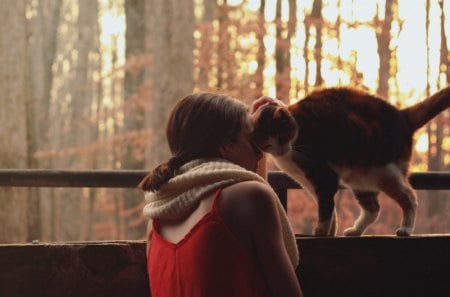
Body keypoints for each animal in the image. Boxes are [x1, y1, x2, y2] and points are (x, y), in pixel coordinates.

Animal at [253, 85, 450, 236]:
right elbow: (329, 209)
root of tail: (402, 116)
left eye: (281, 136)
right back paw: (355, 230)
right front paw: (330, 232)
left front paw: (321, 232)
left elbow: (325, 208)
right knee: (373, 209)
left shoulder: (324, 176)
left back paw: (406, 229)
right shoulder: (309, 181)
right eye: (268, 144)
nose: (280, 150)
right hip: (358, 178)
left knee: (410, 197)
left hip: (383, 171)